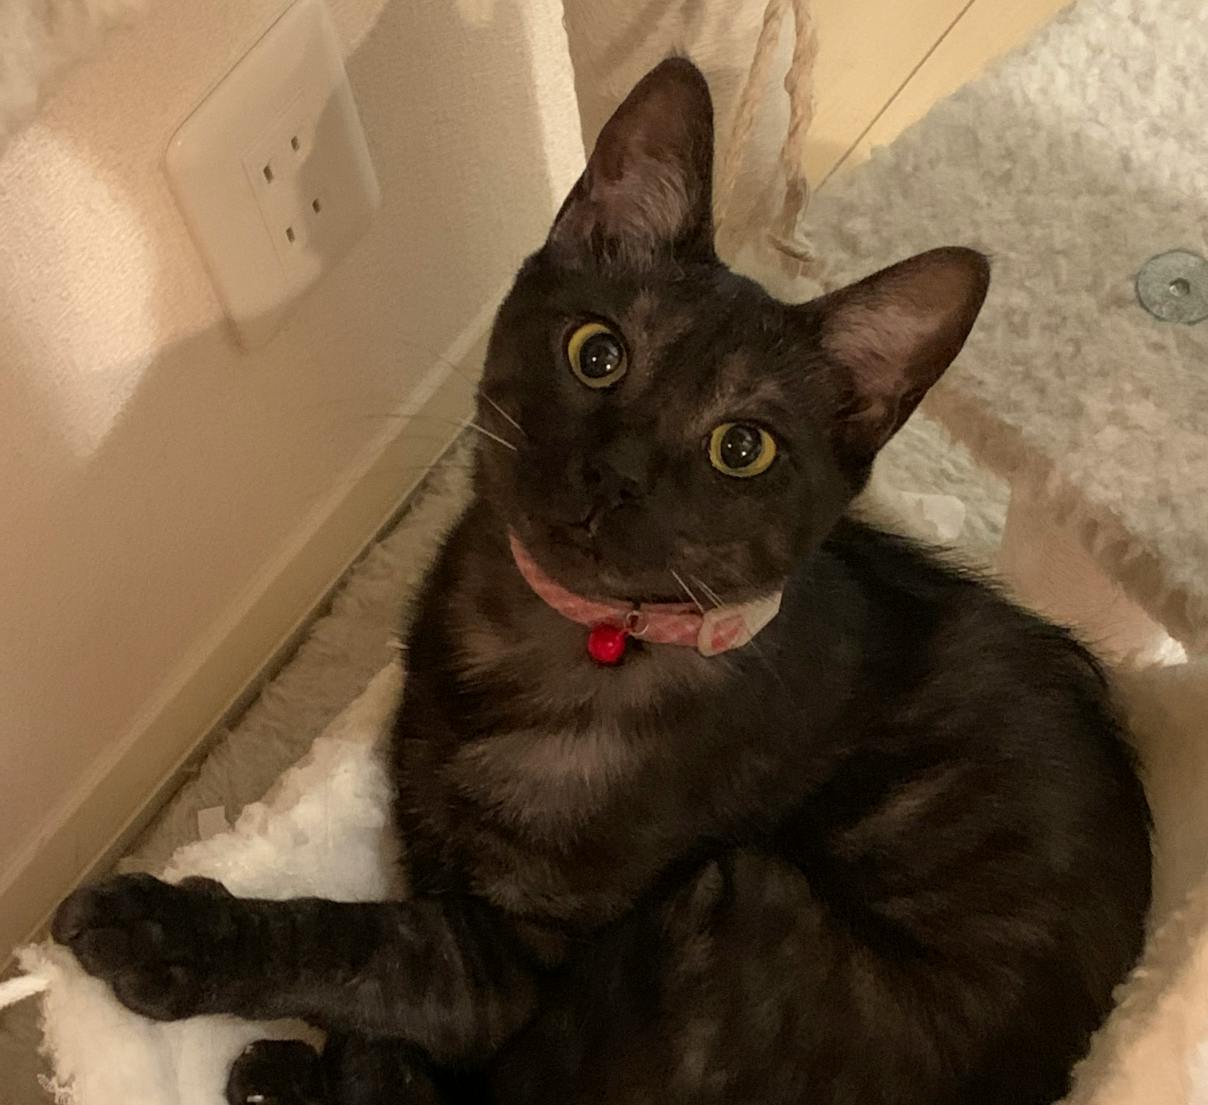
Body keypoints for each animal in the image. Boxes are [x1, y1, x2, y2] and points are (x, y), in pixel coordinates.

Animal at [53, 57, 1150, 1105]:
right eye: (597, 352)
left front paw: (165, 931)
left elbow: (359, 945)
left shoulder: (509, 967)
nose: (616, 473)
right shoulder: (428, 837)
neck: (547, 636)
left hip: (738, 902)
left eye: (741, 447)